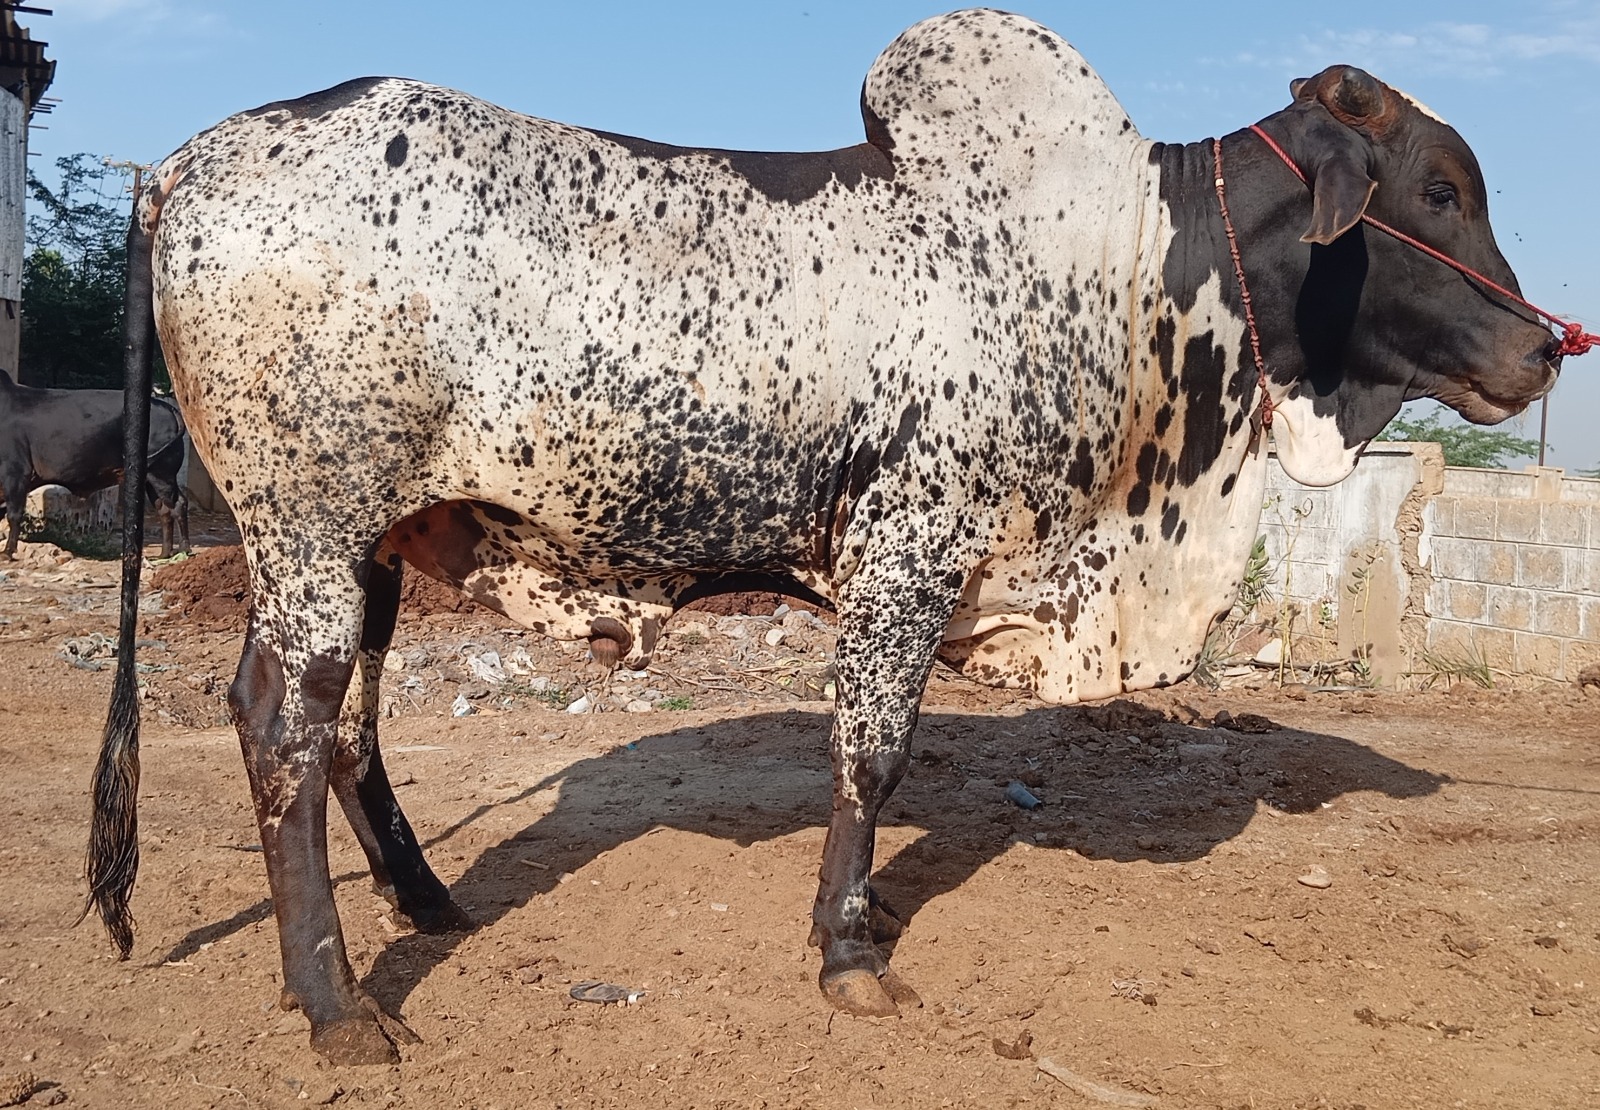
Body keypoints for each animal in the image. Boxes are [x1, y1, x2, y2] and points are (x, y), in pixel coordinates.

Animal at [0, 369, 190, 559]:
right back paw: (164, 553)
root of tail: (169, 408)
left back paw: (184, 549)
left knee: (178, 504)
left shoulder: (16, 472)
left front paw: (8, 552)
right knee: (164, 510)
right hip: (151, 477)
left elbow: (13, 514)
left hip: (162, 474)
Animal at [86, 9, 1559, 1065]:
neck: (1126, 268)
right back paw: (337, 1003)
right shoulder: (908, 548)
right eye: (1438, 189)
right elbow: (872, 750)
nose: (1545, 349)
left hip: (377, 542)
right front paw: (850, 949)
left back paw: (429, 902)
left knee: (344, 729)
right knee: (280, 721)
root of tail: (180, 167)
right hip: (309, 528)